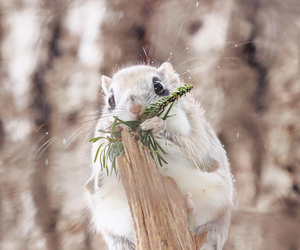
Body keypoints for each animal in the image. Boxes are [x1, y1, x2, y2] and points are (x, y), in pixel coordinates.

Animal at [85, 62, 234, 250]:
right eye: (110, 101)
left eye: (159, 87)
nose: (135, 108)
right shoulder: (97, 158)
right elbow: (98, 173)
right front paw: (117, 130)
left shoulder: (200, 137)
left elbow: (193, 148)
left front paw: (156, 125)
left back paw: (187, 205)